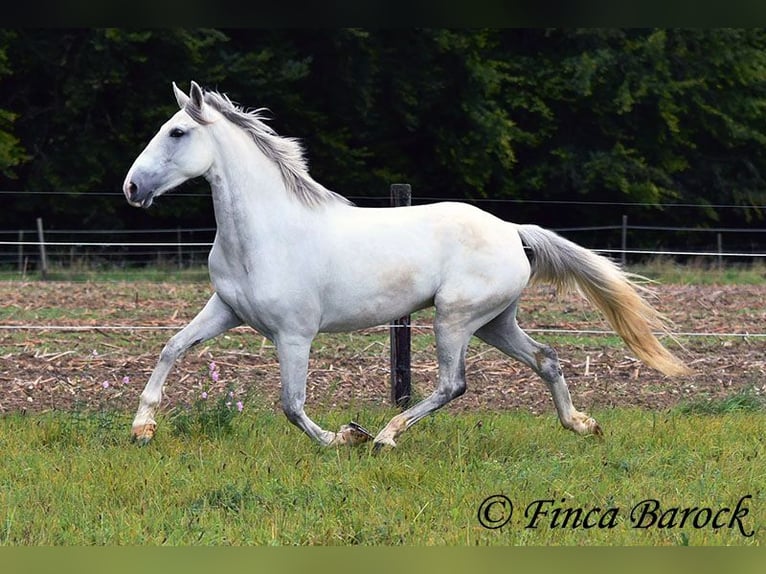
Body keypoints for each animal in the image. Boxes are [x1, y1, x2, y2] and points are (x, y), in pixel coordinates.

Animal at [124, 81, 688, 450]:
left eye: (177, 133)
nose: (132, 188)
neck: (266, 234)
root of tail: (512, 230)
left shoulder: (294, 334)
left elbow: (292, 405)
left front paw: (345, 436)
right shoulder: (227, 309)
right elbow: (171, 347)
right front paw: (142, 427)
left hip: (454, 318)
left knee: (452, 385)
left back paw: (387, 437)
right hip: (493, 321)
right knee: (546, 358)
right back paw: (582, 426)